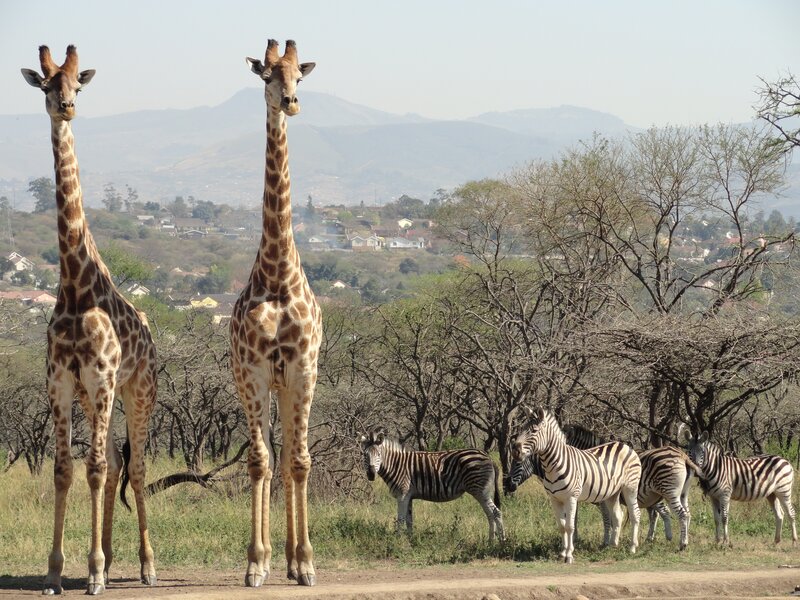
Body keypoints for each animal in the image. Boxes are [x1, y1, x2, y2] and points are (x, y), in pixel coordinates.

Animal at [360, 427, 505, 542]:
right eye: (365, 455)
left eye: (379, 454)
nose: (371, 474)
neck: (396, 465)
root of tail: (488, 457)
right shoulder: (408, 496)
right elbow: (409, 520)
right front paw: (410, 540)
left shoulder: (402, 494)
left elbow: (400, 519)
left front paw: (397, 540)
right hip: (483, 491)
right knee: (490, 514)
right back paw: (491, 541)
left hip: (480, 490)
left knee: (496, 512)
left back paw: (502, 542)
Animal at [513, 407, 641, 563]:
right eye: (522, 429)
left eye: (534, 431)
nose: (515, 450)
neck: (553, 465)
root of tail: (624, 445)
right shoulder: (555, 499)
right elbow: (562, 526)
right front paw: (562, 553)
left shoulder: (571, 498)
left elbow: (570, 526)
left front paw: (569, 555)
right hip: (612, 492)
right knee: (618, 515)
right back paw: (612, 546)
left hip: (630, 488)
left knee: (635, 514)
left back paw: (632, 548)